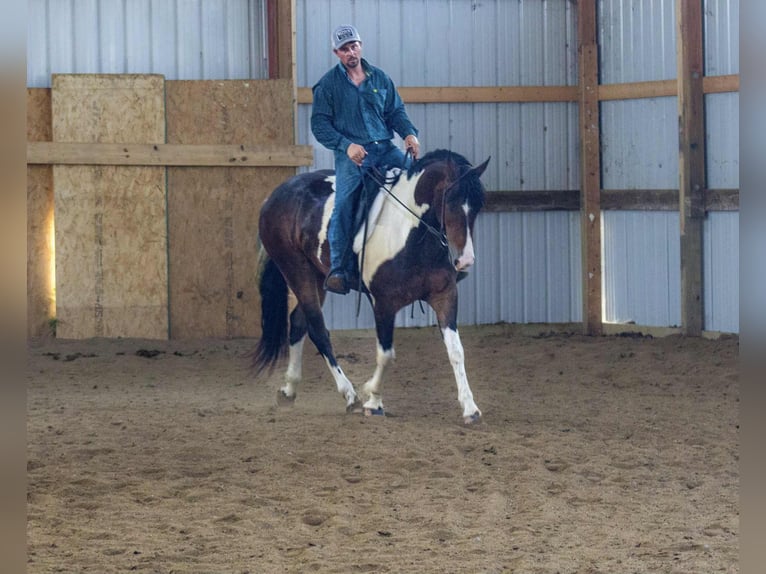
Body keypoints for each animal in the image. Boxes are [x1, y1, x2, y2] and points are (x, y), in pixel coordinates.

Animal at [253, 149, 491, 424]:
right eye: (450, 201)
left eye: (477, 205)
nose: (465, 260)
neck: (410, 234)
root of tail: (275, 195)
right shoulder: (384, 303)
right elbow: (386, 354)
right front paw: (373, 400)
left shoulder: (445, 295)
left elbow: (456, 351)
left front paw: (470, 408)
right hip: (296, 271)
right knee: (318, 329)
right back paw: (349, 395)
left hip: (316, 277)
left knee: (299, 323)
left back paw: (289, 390)